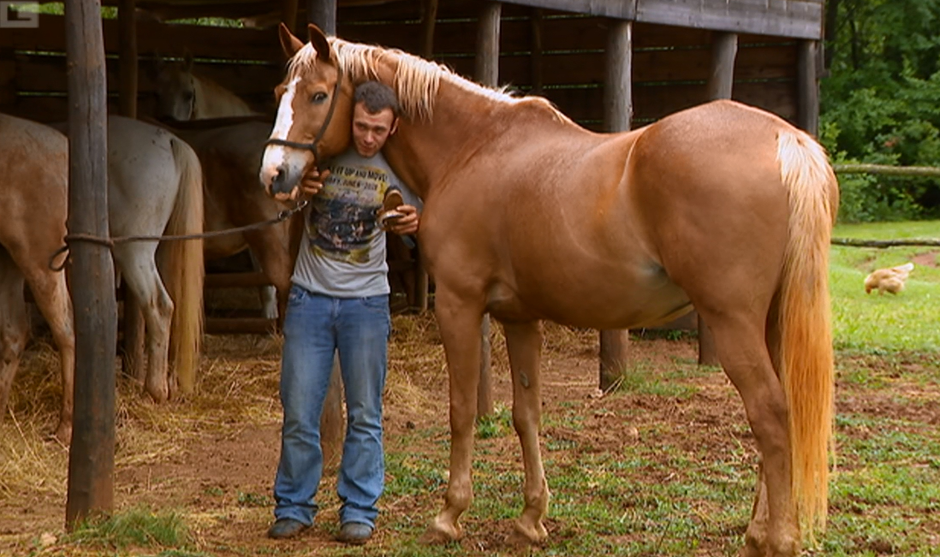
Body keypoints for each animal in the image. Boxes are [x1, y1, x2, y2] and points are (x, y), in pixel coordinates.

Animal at [260, 23, 840, 552]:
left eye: (318, 94)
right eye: (279, 91)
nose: (273, 174)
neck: (472, 149)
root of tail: (784, 139)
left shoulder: (460, 306)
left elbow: (462, 410)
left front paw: (449, 515)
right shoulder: (519, 317)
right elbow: (526, 414)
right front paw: (531, 518)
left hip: (733, 322)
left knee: (770, 414)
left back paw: (778, 539)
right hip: (770, 322)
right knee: (783, 414)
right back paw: (759, 531)